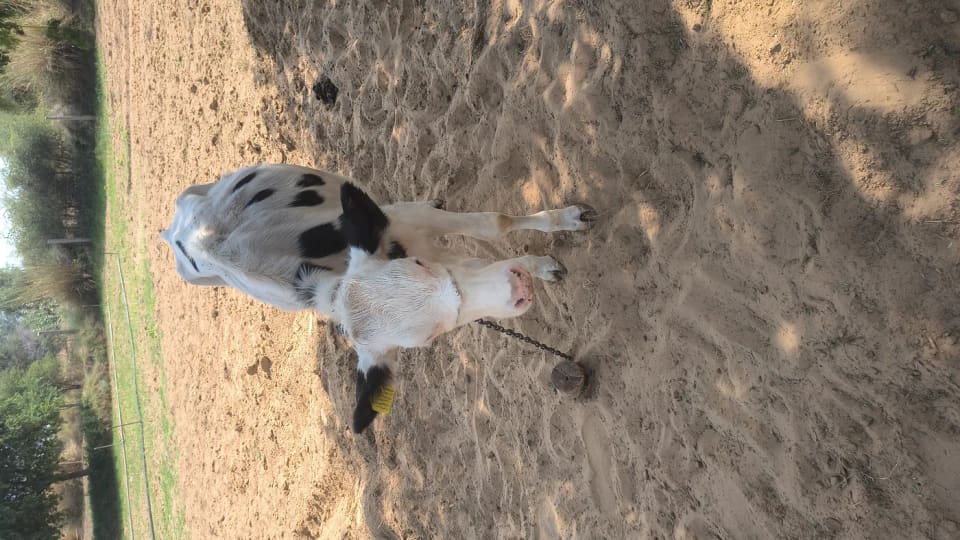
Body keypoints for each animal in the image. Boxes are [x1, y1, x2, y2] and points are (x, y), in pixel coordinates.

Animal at [161, 164, 595, 432]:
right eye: (427, 339)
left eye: (418, 265)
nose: (518, 289)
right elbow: (482, 260)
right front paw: (538, 265)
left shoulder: (406, 221)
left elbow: (494, 225)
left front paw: (566, 221)